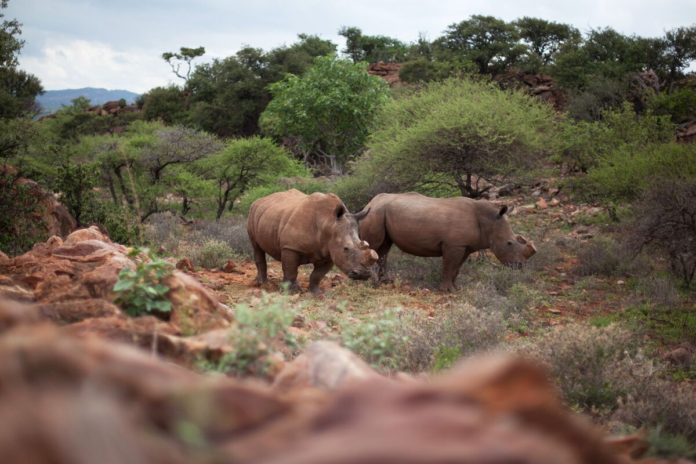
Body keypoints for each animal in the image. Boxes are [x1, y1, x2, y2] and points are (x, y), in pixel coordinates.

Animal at [247, 190, 379, 294]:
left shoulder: (330, 253)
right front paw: (287, 292)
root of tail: (260, 200)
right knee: (256, 247)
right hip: (253, 212)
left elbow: (317, 275)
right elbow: (290, 272)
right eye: (346, 249)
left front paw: (316, 293)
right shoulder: (290, 247)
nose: (364, 274)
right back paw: (262, 283)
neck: (328, 223)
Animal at [359, 193, 537, 291]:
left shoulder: (465, 246)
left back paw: (384, 281)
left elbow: (457, 268)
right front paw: (445, 290)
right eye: (509, 244)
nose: (520, 266)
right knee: (374, 245)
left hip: (381, 213)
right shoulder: (454, 245)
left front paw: (456, 288)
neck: (489, 221)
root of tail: (371, 202)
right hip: (374, 213)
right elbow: (449, 266)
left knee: (384, 248)